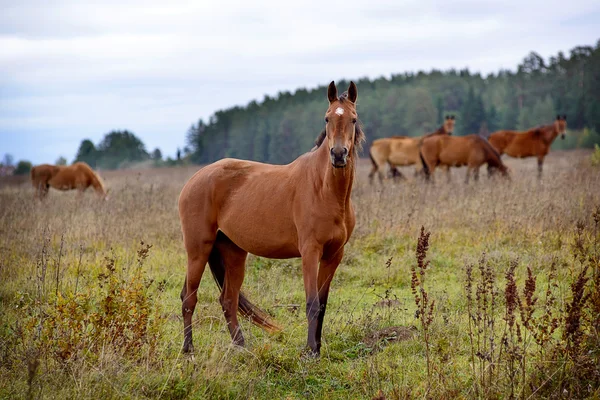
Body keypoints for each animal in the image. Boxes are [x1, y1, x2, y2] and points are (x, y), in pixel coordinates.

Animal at [177, 81, 366, 356]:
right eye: (327, 118)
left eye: (353, 119)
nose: (339, 154)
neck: (326, 190)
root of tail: (194, 180)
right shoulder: (310, 252)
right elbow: (312, 303)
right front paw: (309, 352)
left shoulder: (334, 255)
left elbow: (322, 304)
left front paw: (317, 349)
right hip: (198, 249)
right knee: (189, 297)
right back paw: (188, 350)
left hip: (233, 252)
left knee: (228, 300)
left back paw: (241, 347)